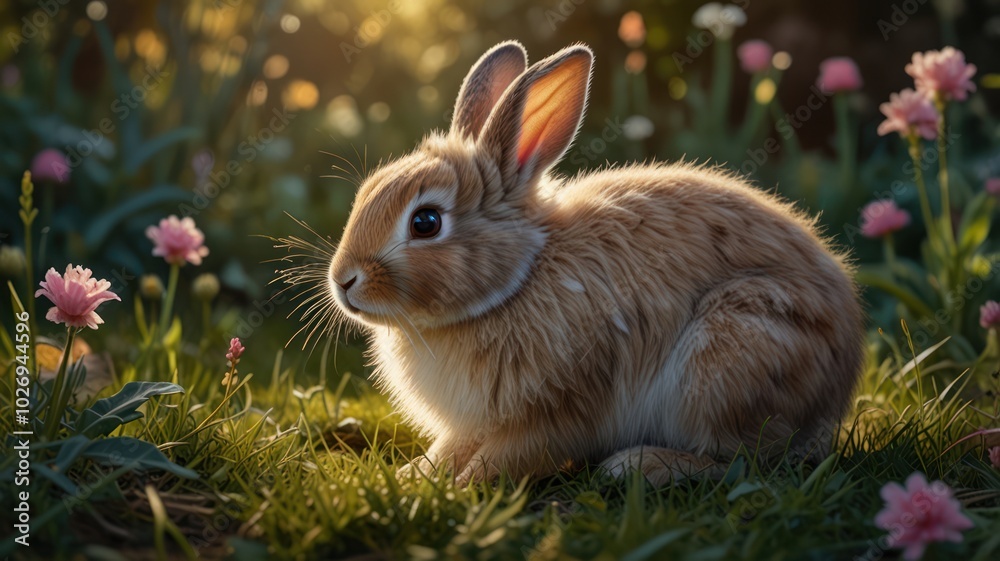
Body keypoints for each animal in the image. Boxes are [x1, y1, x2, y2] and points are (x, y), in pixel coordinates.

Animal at [325, 41, 865, 486]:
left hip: (731, 356)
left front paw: (460, 490)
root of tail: (836, 392)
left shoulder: (559, 408)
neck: (517, 280)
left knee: (743, 461)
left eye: (426, 222)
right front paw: (415, 477)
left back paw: (639, 466)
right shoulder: (476, 421)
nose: (343, 281)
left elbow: (508, 456)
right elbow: (450, 448)